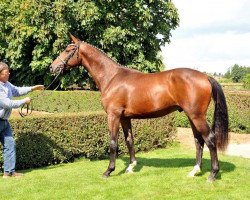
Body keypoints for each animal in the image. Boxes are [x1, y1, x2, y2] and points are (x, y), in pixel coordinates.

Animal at [49, 34, 229, 181]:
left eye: (67, 50)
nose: (52, 67)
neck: (111, 77)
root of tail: (205, 76)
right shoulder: (125, 118)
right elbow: (129, 140)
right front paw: (131, 167)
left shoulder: (113, 115)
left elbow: (113, 142)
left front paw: (109, 171)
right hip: (191, 116)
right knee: (199, 141)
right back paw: (194, 171)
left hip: (196, 116)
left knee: (209, 139)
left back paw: (213, 174)